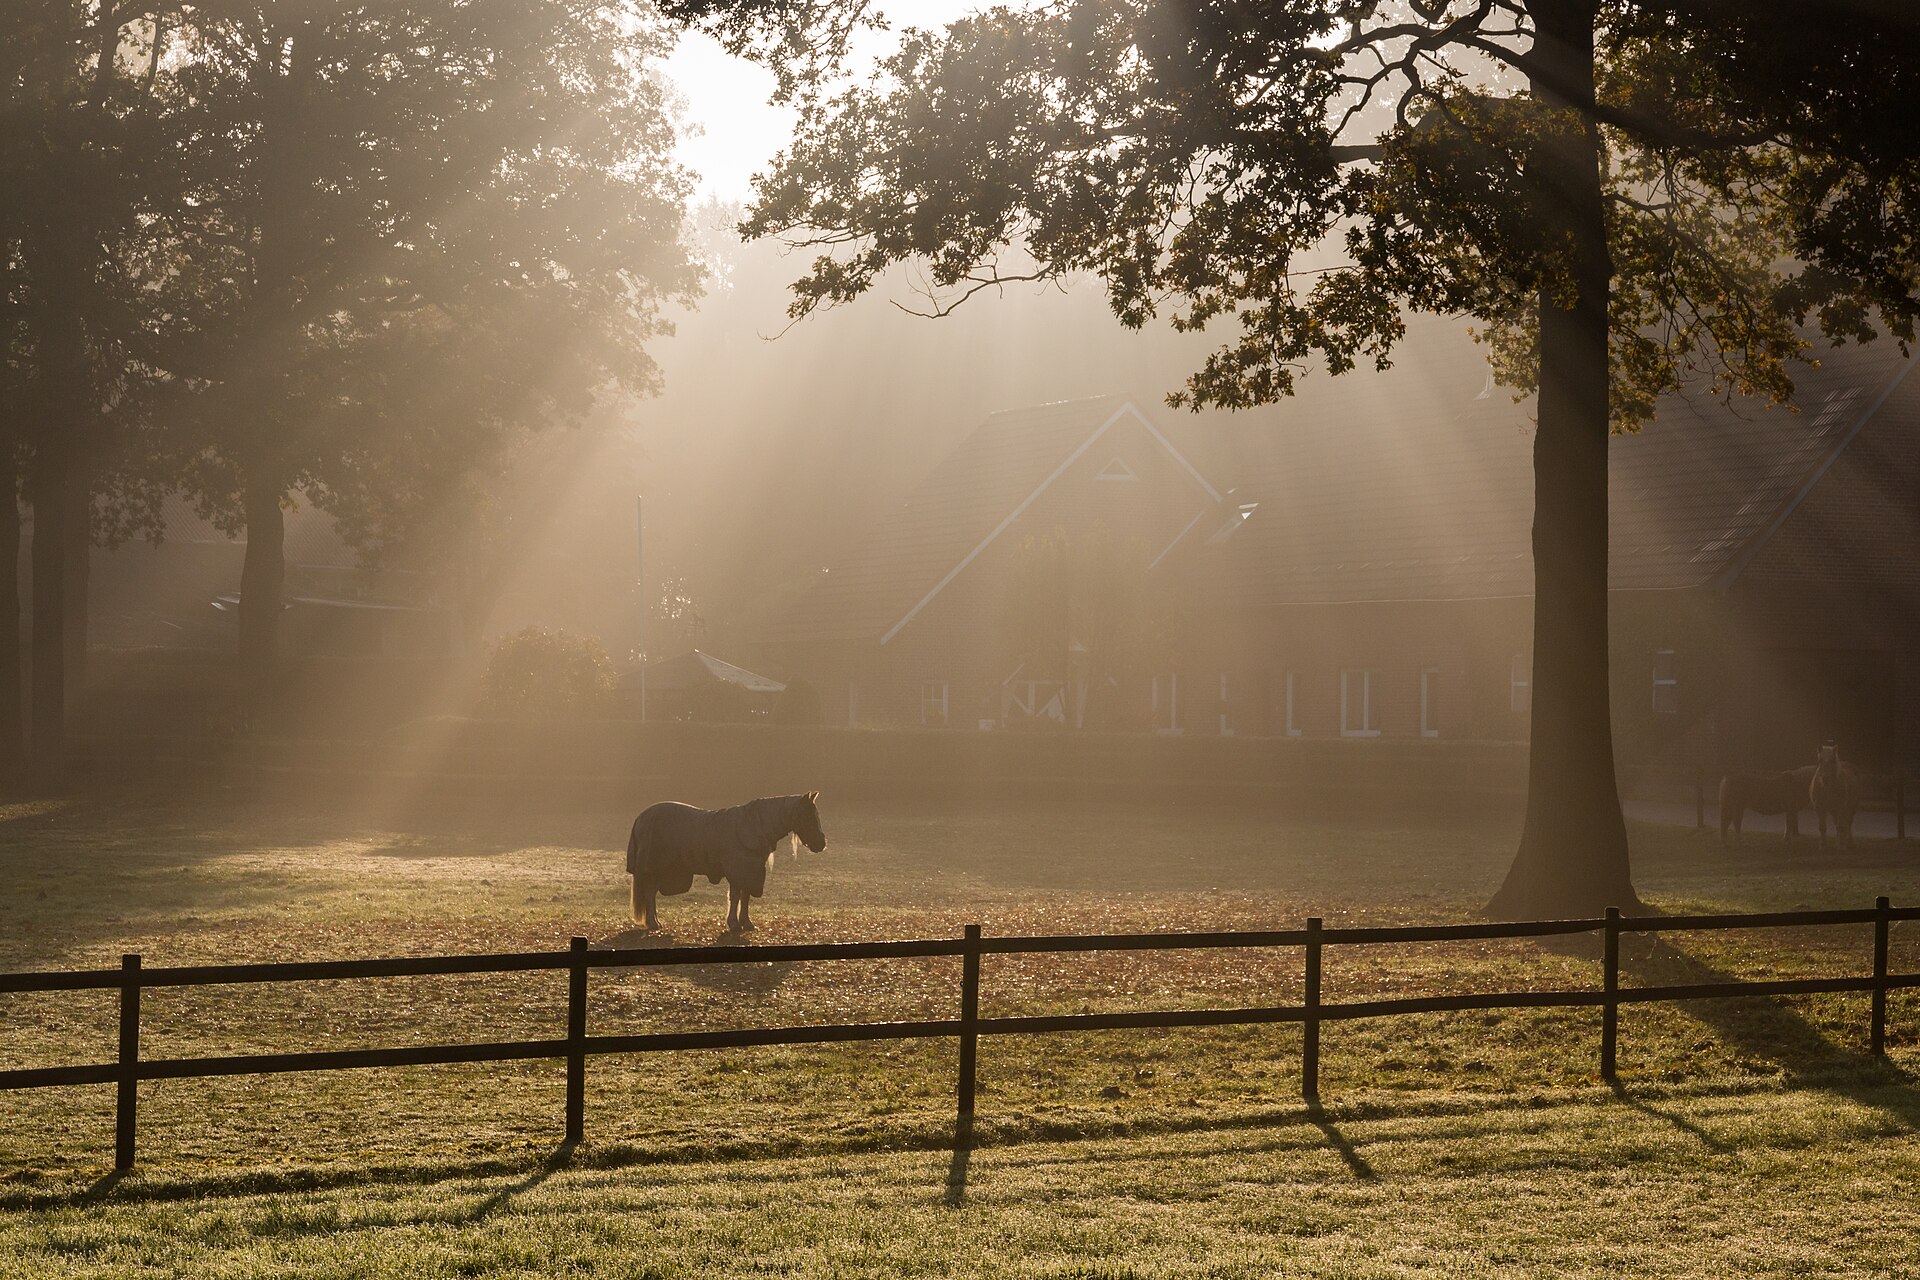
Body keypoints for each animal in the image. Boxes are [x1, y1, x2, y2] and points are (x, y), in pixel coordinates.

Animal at [625, 792, 826, 934]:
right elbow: (736, 896)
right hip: (653, 868)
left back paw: (655, 921)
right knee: (650, 893)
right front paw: (734, 924)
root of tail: (640, 818)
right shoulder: (737, 870)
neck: (753, 827)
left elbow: (745, 896)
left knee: (651, 893)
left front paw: (746, 922)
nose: (821, 844)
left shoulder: (749, 870)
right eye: (808, 816)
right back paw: (652, 923)